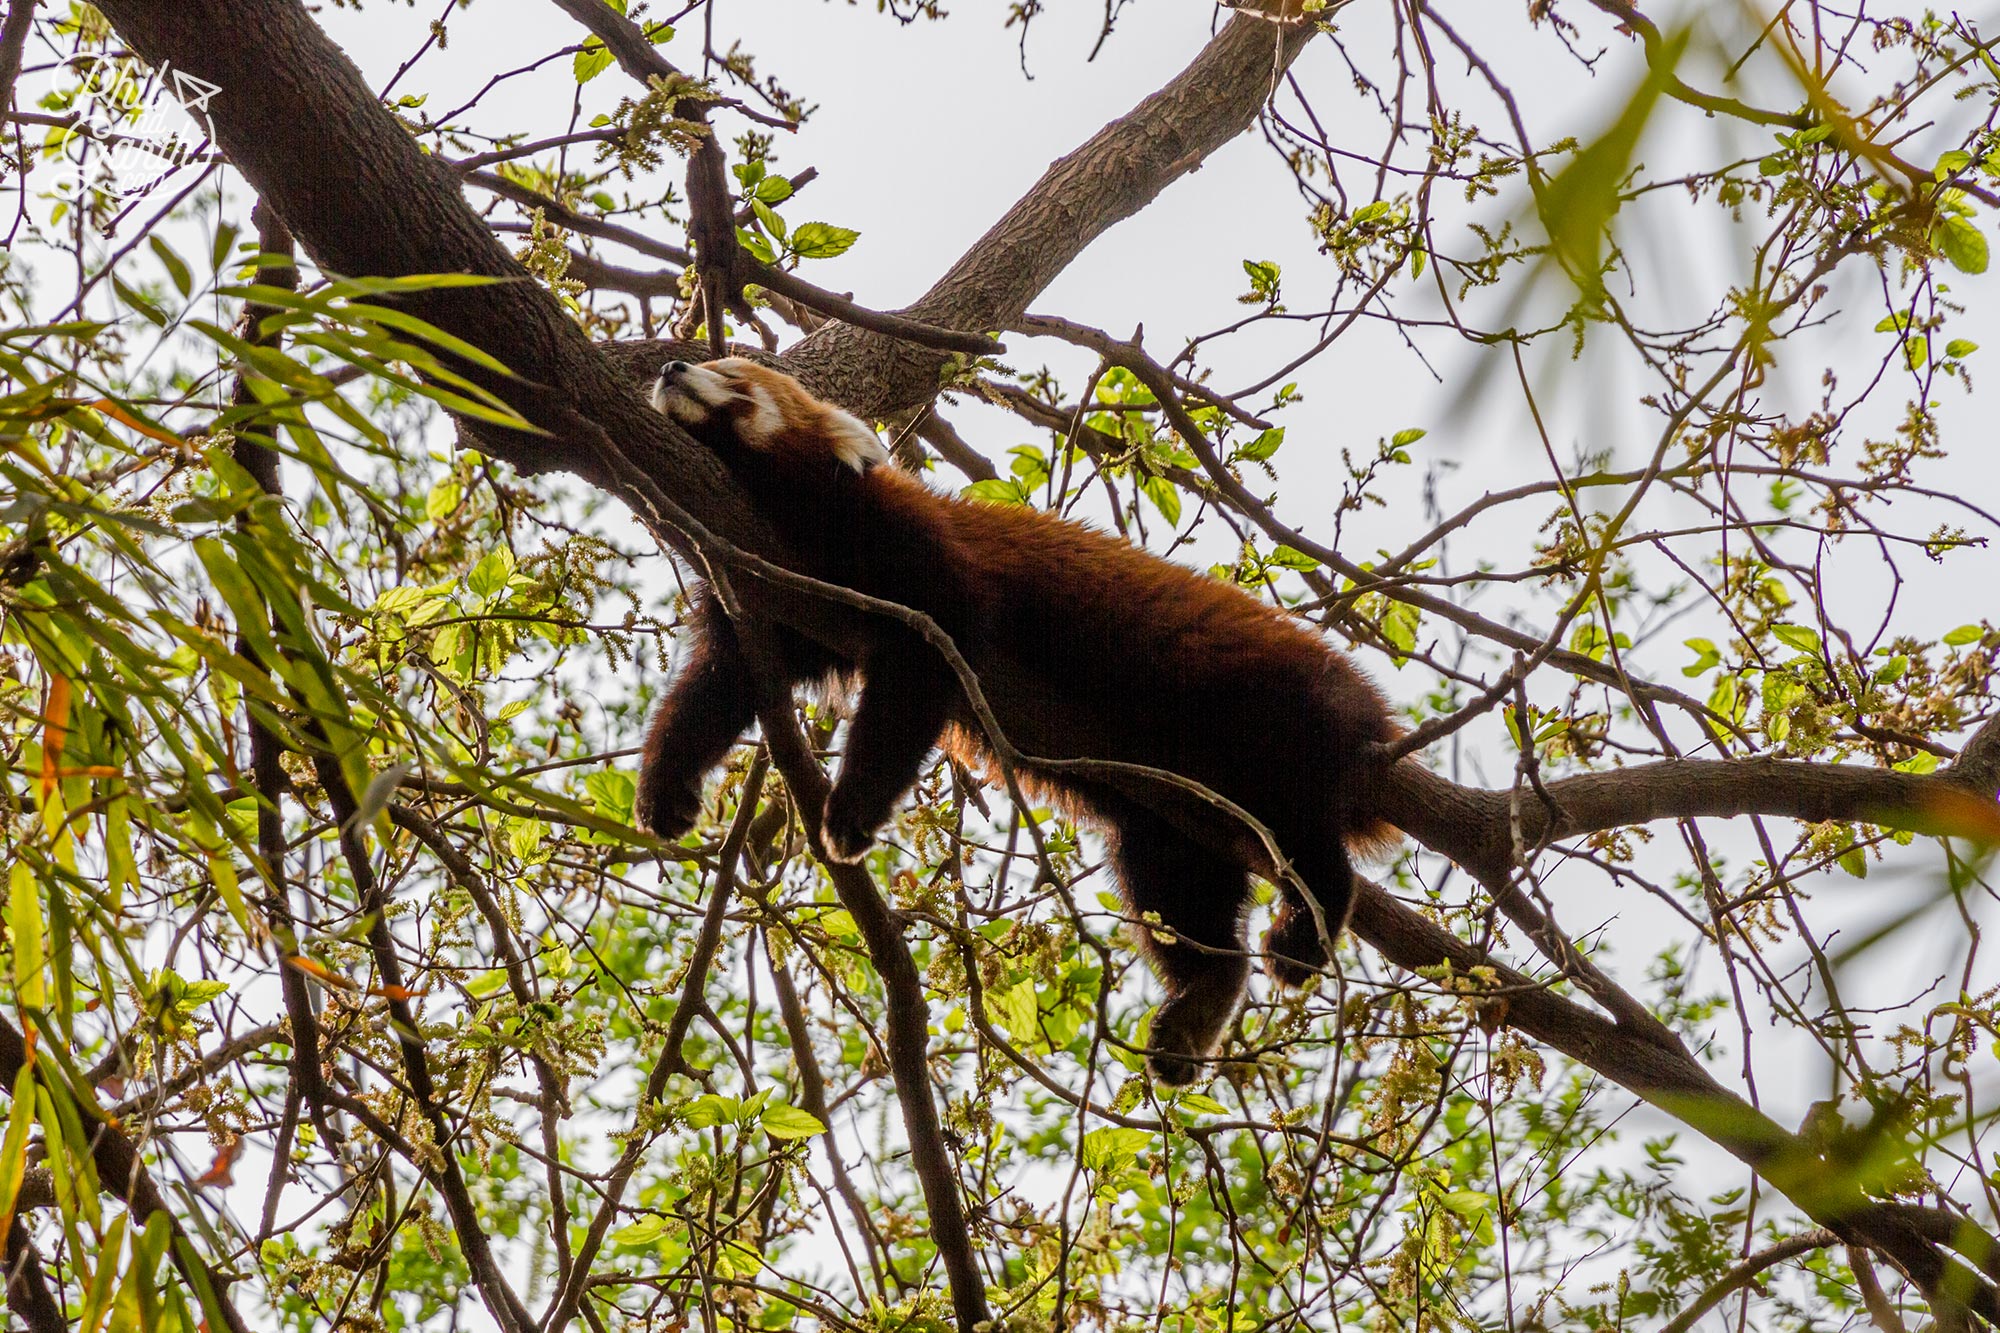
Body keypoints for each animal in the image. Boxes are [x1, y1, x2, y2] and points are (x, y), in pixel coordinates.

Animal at [636, 352, 1392, 1080]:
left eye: (732, 376)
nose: (672, 367)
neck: (785, 516)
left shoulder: (912, 563)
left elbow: (916, 677)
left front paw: (851, 811)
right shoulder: (766, 603)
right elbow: (713, 692)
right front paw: (665, 790)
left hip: (1254, 706)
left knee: (1301, 825)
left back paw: (1306, 925)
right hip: (1169, 819)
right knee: (1174, 892)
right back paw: (1198, 1002)